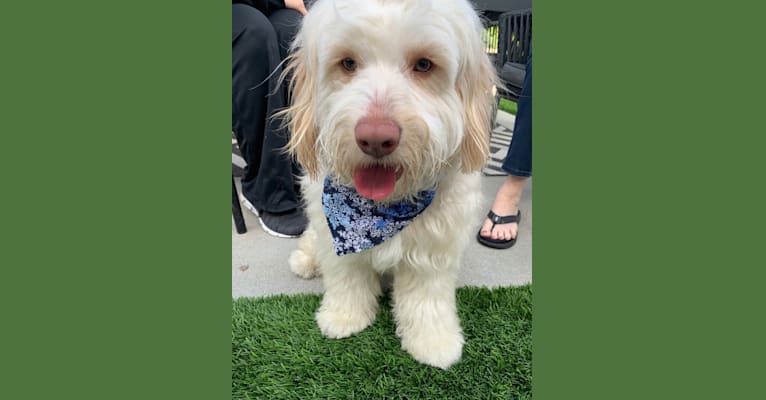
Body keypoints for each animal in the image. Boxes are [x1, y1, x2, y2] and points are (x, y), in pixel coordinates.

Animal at [284, 0, 498, 368]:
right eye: (348, 63)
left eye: (424, 64)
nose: (375, 138)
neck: (380, 212)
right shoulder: (337, 237)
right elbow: (347, 277)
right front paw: (344, 317)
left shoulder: (434, 249)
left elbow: (426, 297)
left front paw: (433, 341)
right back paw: (306, 261)